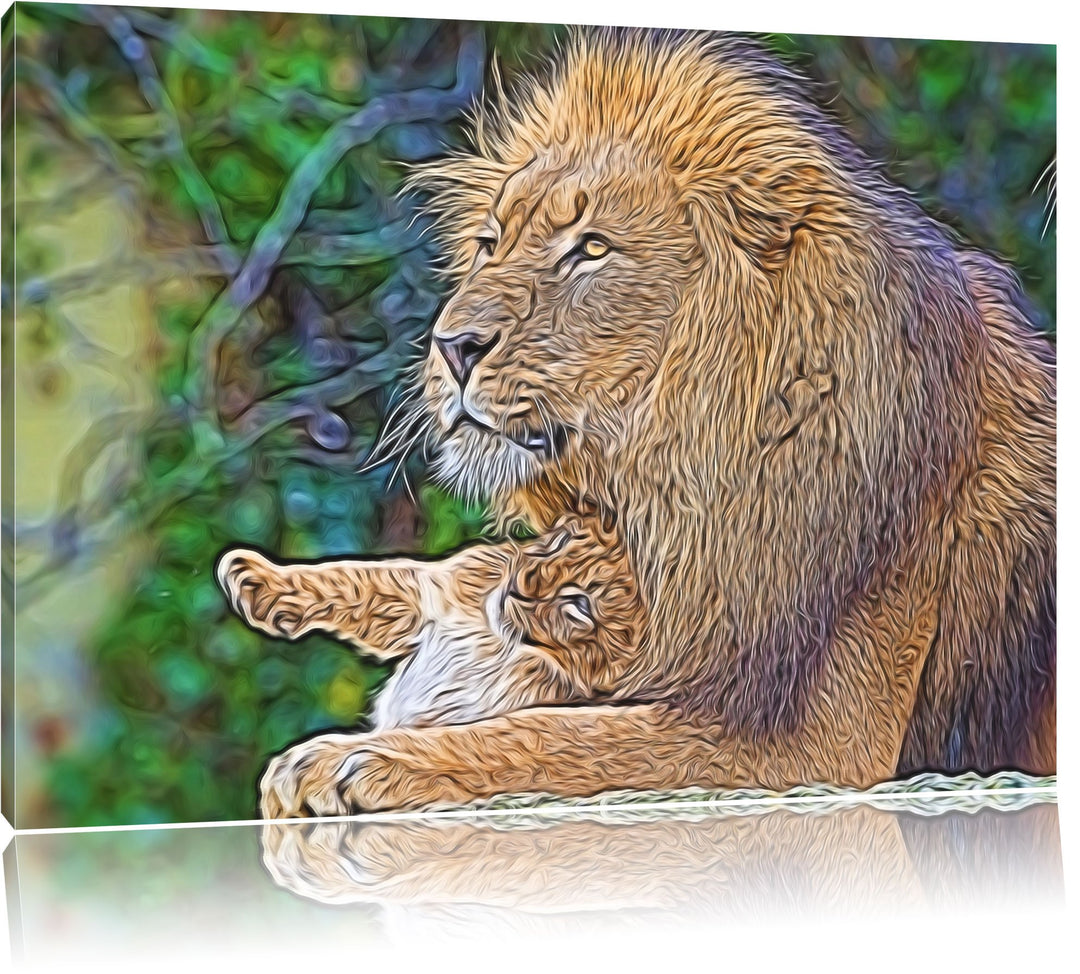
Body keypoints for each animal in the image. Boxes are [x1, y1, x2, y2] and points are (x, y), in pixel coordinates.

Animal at [222, 27, 1055, 816]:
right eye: (491, 244)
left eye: (591, 249)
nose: (452, 345)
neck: (682, 483)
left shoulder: (817, 746)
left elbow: (551, 738)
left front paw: (354, 760)